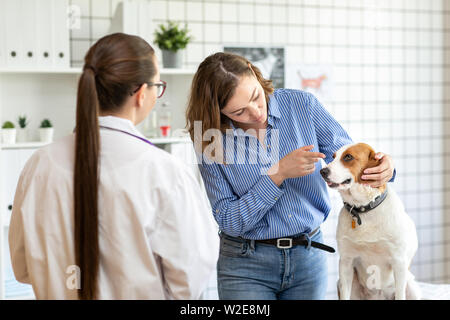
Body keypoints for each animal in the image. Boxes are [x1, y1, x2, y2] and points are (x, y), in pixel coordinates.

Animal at [320, 142, 422, 300]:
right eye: (333, 156)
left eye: (348, 157)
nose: (322, 171)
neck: (364, 209)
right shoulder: (346, 262)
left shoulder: (399, 262)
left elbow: (400, 294)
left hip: (412, 286)